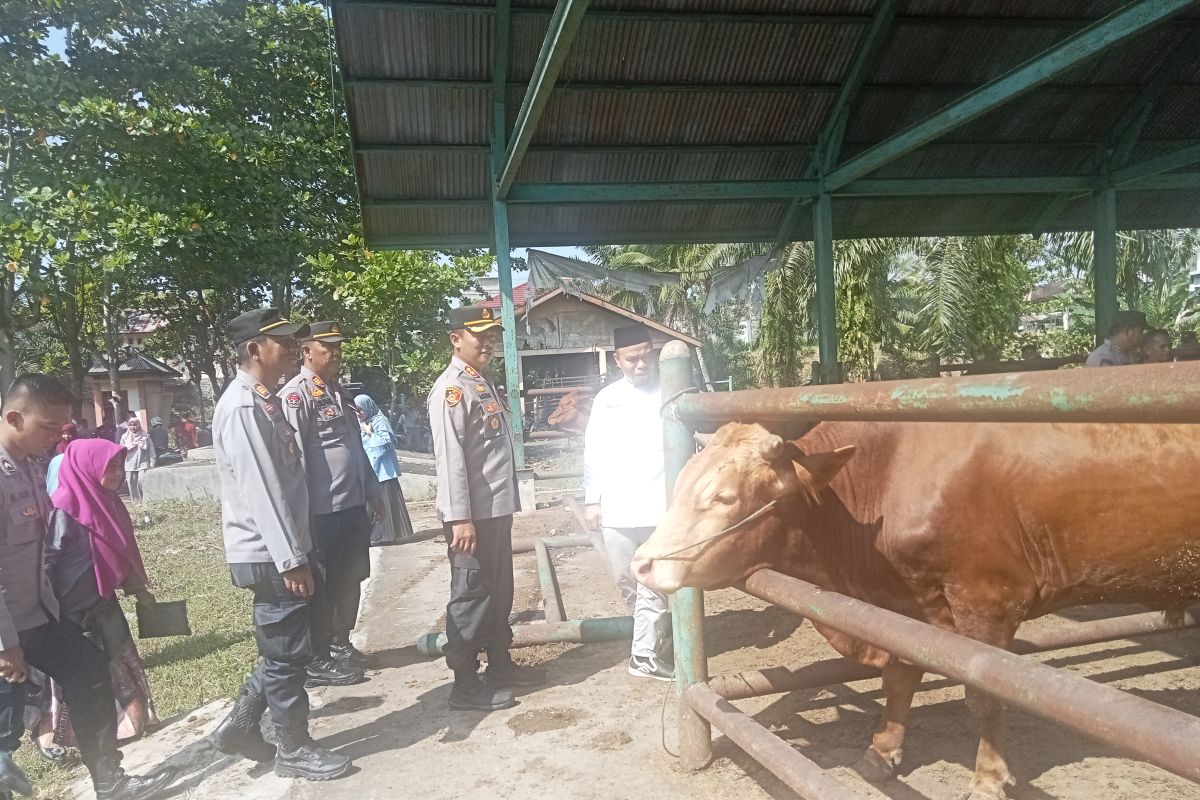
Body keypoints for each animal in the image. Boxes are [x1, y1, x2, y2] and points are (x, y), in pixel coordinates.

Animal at [628, 422, 1200, 796]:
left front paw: (987, 780)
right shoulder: (903, 608)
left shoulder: (988, 602)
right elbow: (900, 674)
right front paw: (881, 751)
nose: (642, 564)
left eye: (725, 497)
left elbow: (986, 696)